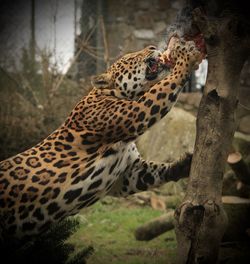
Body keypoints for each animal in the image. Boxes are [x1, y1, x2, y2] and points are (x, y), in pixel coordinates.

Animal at [0, 36, 203, 240]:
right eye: (130, 58)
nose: (153, 46)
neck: (108, 94)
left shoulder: (129, 173)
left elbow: (157, 171)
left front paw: (184, 165)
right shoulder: (137, 112)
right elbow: (166, 84)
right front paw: (187, 56)